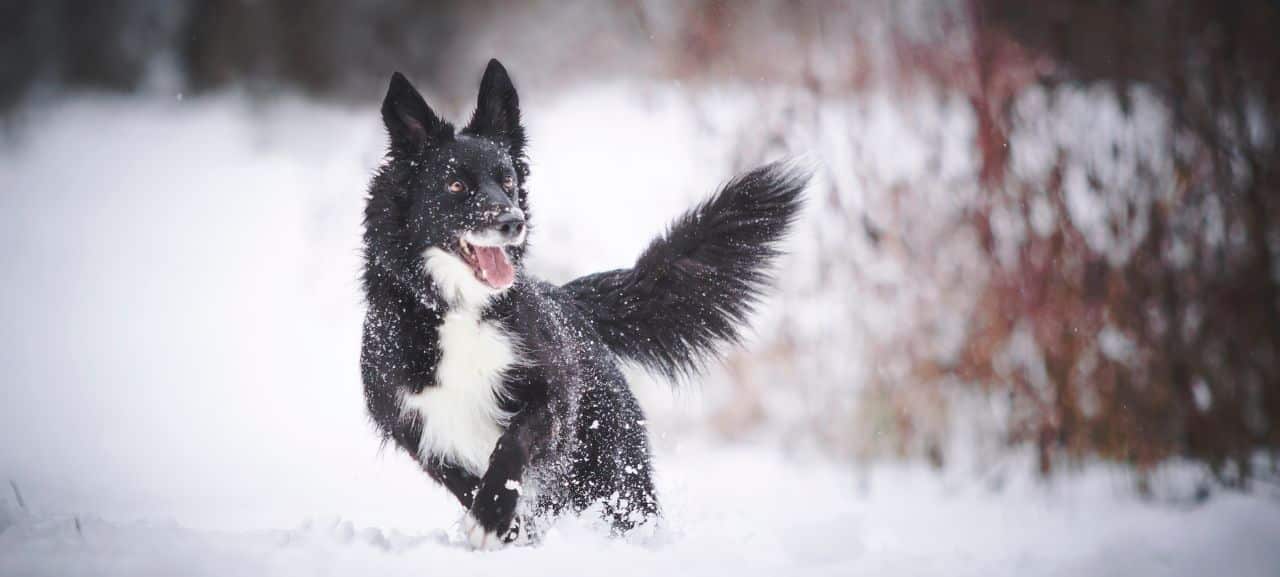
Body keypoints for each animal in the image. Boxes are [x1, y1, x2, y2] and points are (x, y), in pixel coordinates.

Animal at [355, 59, 803, 550]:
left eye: (508, 181)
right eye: (455, 185)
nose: (514, 221)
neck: (462, 310)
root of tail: (569, 300)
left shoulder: (552, 394)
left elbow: (512, 444)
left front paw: (492, 514)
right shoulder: (409, 420)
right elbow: (459, 478)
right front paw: (498, 522)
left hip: (612, 470)